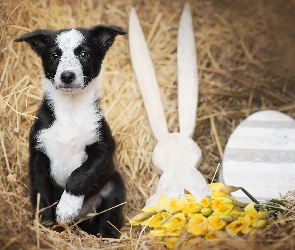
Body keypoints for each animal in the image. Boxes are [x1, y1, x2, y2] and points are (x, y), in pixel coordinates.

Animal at [15, 25, 126, 238]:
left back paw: (107, 235)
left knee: (111, 215)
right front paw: (46, 221)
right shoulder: (38, 155)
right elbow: (40, 190)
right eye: (54, 55)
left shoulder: (103, 148)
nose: (67, 76)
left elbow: (80, 175)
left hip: (114, 185)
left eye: (84, 54)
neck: (70, 111)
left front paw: (67, 207)